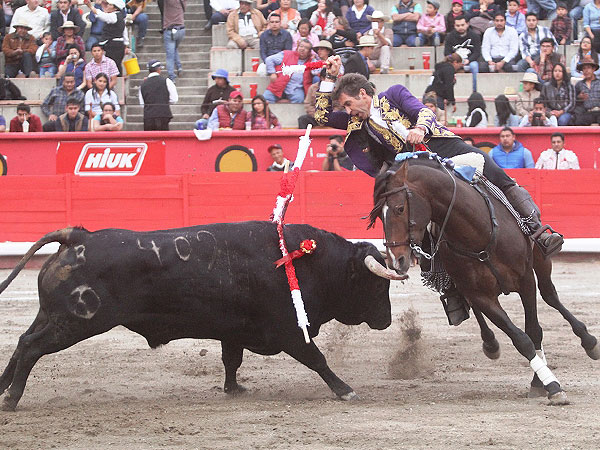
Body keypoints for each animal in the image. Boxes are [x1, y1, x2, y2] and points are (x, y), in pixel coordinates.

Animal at [1, 221, 404, 412]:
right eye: (375, 285)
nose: (386, 319)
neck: (305, 262)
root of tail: (78, 236)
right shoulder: (291, 331)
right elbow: (317, 359)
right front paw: (345, 390)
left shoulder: (234, 330)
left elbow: (231, 360)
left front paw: (234, 389)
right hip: (76, 321)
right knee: (32, 347)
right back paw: (12, 399)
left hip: (50, 315)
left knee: (21, 343)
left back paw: (2, 388)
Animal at [370, 155, 600, 404]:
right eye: (378, 216)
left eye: (400, 208)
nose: (396, 260)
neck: (477, 234)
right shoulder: (480, 295)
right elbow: (520, 338)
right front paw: (551, 384)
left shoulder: (526, 281)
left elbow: (534, 330)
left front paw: (541, 383)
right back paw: (490, 343)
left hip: (541, 260)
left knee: (550, 295)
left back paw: (589, 341)